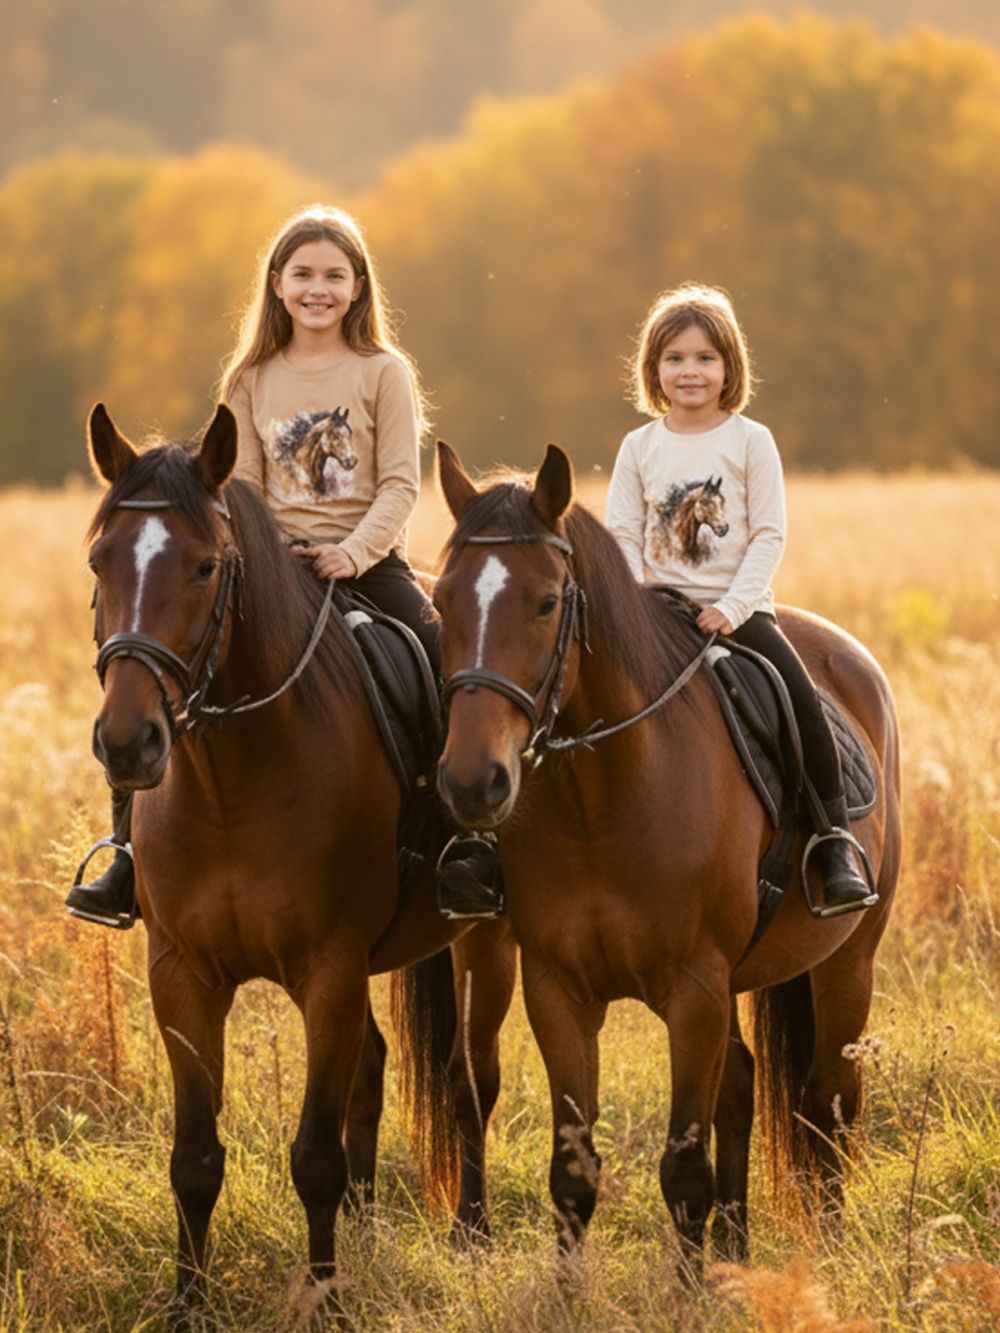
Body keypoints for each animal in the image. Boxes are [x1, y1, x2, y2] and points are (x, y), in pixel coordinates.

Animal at [82, 404, 516, 1323]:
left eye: (205, 565)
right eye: (100, 560)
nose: (130, 743)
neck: (231, 780)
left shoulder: (329, 968)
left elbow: (314, 1152)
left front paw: (327, 1302)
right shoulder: (182, 974)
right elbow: (194, 1158)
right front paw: (187, 1305)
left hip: (484, 941)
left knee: (470, 1081)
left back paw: (471, 1234)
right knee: (377, 1068)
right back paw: (363, 1224)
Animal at [431, 441, 901, 1274]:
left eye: (546, 602)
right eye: (443, 601)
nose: (470, 781)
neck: (602, 799)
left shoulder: (694, 988)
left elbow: (684, 1165)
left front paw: (687, 1288)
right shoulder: (559, 990)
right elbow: (574, 1168)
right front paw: (572, 1289)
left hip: (848, 961)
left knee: (829, 1103)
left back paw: (827, 1246)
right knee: (746, 1086)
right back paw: (737, 1247)